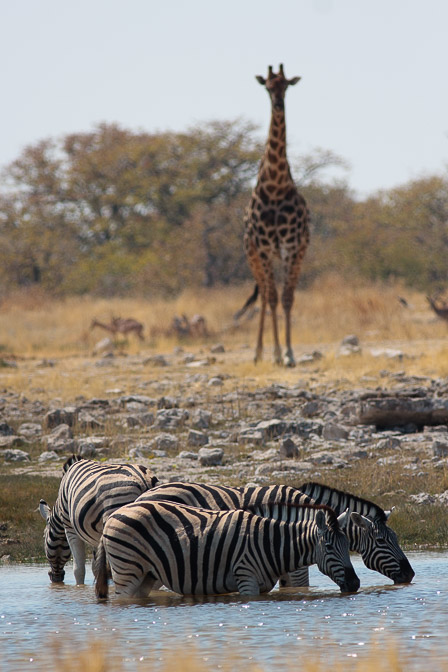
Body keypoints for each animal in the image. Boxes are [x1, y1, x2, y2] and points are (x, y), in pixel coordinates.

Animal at [38, 454, 158, 584]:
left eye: (44, 537)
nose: (55, 579)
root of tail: (143, 478)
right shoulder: (95, 537)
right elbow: (96, 567)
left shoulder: (70, 528)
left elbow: (79, 569)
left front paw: (79, 587)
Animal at [94, 498, 360, 600]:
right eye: (328, 546)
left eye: (348, 546)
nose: (355, 583)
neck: (270, 543)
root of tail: (114, 515)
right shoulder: (246, 578)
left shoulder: (262, 586)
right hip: (127, 570)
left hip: (146, 576)